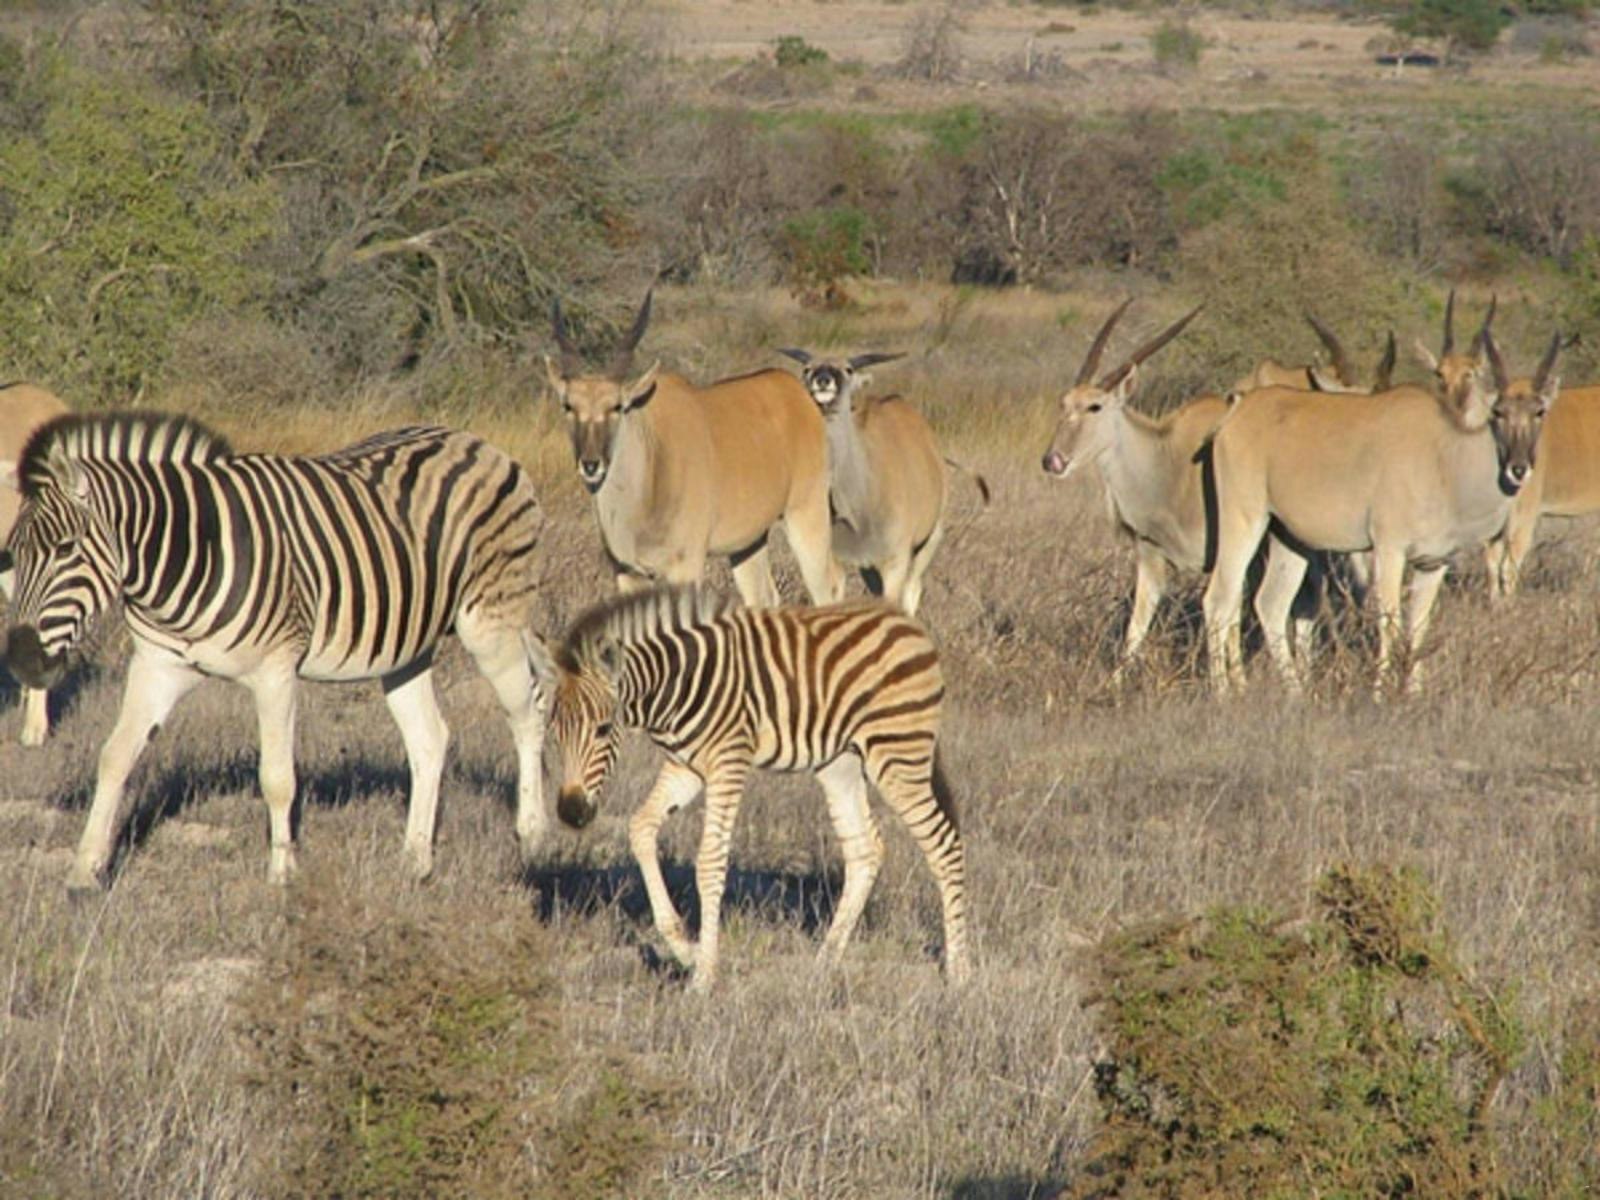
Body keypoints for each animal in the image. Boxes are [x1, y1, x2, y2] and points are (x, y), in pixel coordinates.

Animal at [3, 411, 549, 892]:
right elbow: (115, 758)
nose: (22, 661)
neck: (186, 559)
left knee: (528, 713)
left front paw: (283, 874)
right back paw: (415, 861)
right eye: (12, 555)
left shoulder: (276, 672)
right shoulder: (157, 665)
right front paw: (85, 869)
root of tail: (477, 441)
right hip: (405, 647)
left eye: (67, 549)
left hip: (491, 624)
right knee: (430, 739)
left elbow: (277, 777)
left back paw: (533, 835)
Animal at [526, 587, 971, 992]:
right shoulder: (685, 767)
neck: (677, 684)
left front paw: (703, 977)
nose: (572, 813)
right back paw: (824, 963)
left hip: (898, 753)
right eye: (554, 730)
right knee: (866, 850)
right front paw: (684, 948)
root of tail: (908, 623)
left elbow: (709, 861)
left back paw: (959, 972)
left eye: (603, 729)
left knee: (943, 844)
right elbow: (640, 828)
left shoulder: (728, 763)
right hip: (840, 764)